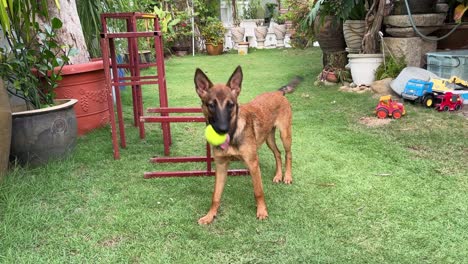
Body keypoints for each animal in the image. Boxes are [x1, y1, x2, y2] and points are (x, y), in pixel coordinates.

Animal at [195, 66, 302, 225]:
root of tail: (278, 92)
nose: (222, 129)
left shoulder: (253, 164)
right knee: (278, 153)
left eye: (231, 105)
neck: (233, 133)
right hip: (268, 138)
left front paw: (262, 211)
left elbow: (258, 192)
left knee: (288, 154)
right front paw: (210, 215)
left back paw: (287, 176)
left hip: (285, 135)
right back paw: (278, 175)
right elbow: (216, 196)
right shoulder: (221, 166)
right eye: (211, 105)